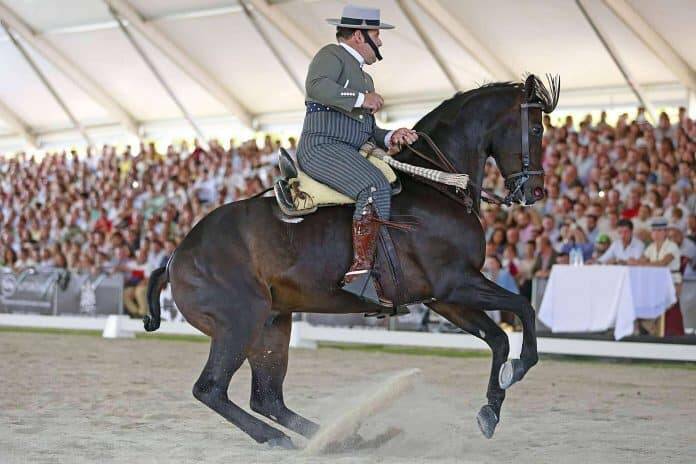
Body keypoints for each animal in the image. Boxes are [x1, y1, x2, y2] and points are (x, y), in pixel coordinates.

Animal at [144, 74, 560, 448]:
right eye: (536, 128)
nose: (536, 191)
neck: (437, 185)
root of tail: (177, 256)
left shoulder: (444, 298)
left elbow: (499, 338)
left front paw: (490, 410)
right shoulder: (457, 283)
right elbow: (523, 309)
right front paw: (518, 369)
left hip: (272, 325)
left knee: (267, 398)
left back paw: (341, 438)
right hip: (239, 324)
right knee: (212, 389)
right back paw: (283, 439)